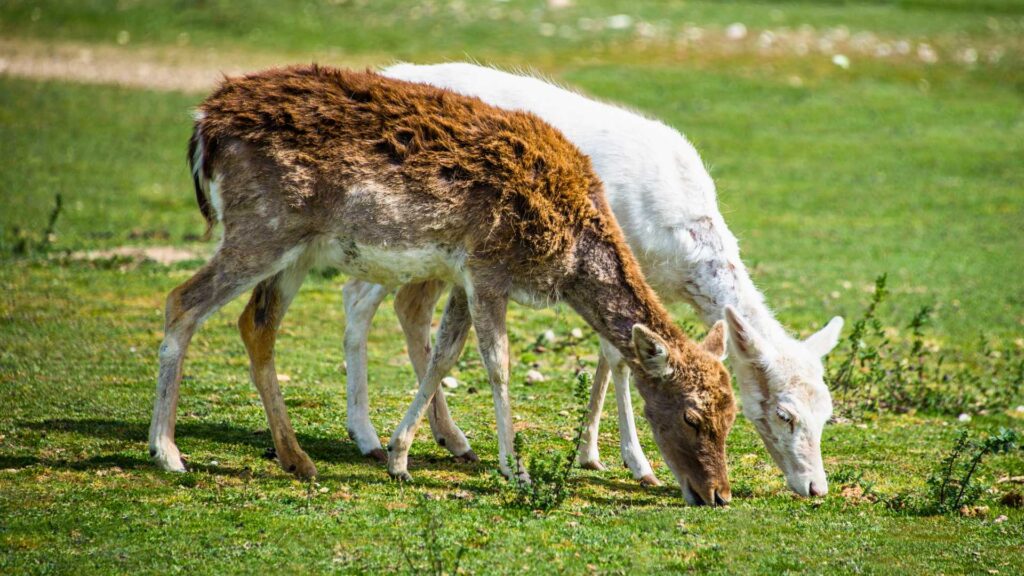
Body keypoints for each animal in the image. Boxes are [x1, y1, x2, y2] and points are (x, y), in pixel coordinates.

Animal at [144, 66, 737, 502]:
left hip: (296, 246)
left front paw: (401, 455)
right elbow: (496, 364)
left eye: (731, 415)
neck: (570, 256)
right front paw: (514, 468)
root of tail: (204, 126)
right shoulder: (488, 266)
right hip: (261, 228)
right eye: (692, 416)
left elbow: (444, 354)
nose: (718, 495)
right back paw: (168, 453)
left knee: (256, 324)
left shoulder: (462, 274)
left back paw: (297, 459)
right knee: (182, 301)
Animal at [339, 61, 843, 494]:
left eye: (827, 413)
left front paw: (591, 451)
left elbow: (611, 355)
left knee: (410, 308)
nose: (815, 488)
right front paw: (638, 463)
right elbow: (619, 360)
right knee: (357, 301)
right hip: (392, 237)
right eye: (784, 414)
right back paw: (367, 435)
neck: (676, 249)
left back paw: (452, 438)